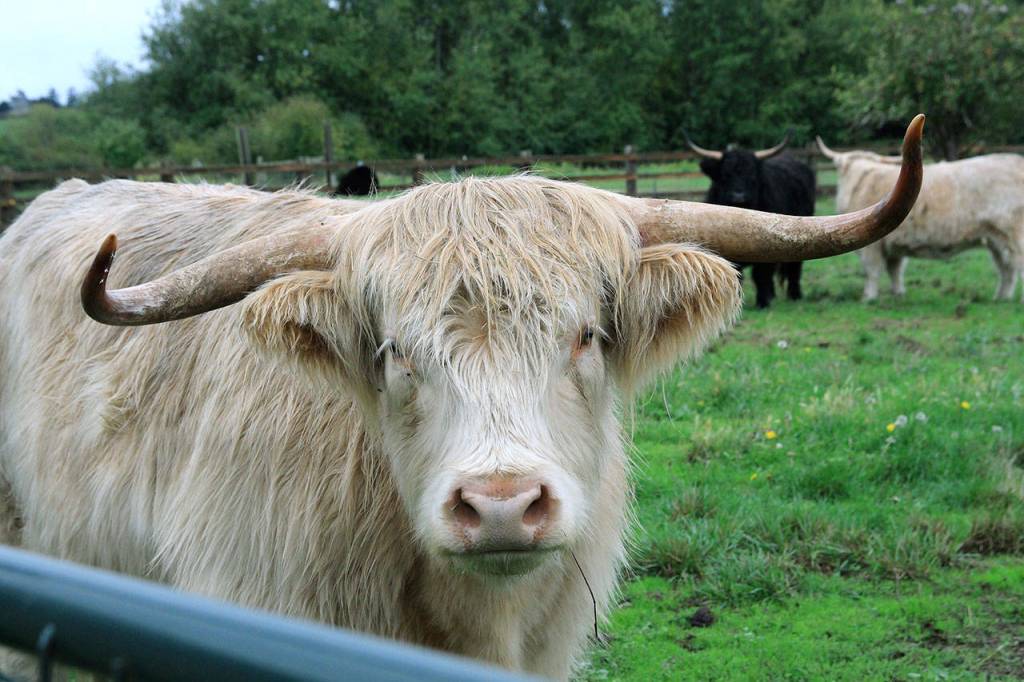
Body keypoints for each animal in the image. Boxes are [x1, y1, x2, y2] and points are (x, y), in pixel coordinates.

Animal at [687, 132, 817, 308]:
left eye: (752, 175)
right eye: (725, 175)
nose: (739, 197)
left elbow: (760, 274)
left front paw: (762, 303)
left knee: (794, 268)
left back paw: (794, 295)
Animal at [817, 137, 1024, 302]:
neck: (861, 180)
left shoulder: (872, 246)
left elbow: (872, 271)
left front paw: (869, 298)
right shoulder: (891, 244)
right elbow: (895, 269)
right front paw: (898, 293)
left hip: (1012, 234)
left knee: (1014, 266)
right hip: (995, 239)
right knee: (1006, 269)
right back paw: (1001, 298)